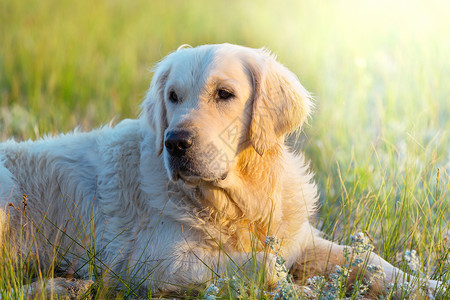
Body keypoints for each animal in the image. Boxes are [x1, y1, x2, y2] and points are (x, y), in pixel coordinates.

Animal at [0, 42, 442, 298]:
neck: (241, 203)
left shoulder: (300, 238)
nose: (174, 143)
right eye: (173, 96)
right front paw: (298, 290)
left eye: (224, 94)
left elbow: (366, 258)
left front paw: (424, 284)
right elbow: (262, 265)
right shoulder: (152, 262)